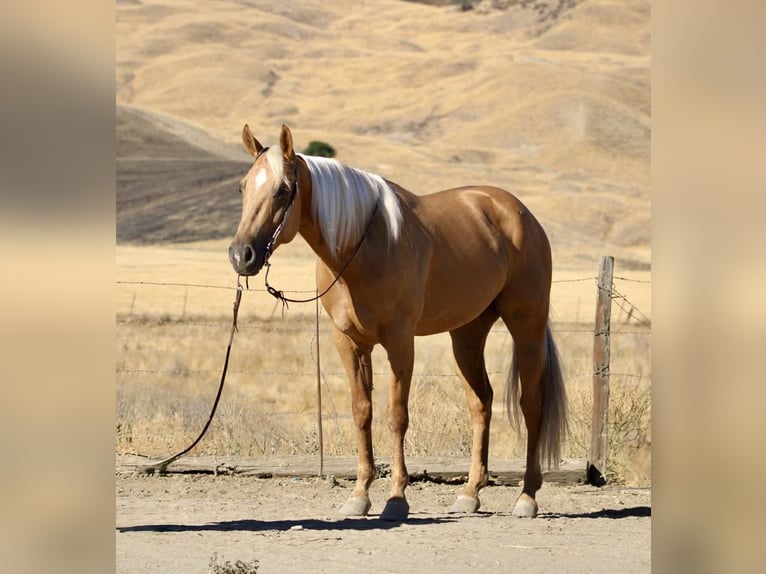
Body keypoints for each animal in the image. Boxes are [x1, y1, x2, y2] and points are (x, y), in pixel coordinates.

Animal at [229, 124, 568, 520]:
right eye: (243, 187)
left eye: (282, 190)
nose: (242, 255)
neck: (361, 247)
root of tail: (520, 213)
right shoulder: (349, 342)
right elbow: (362, 413)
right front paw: (359, 495)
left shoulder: (400, 341)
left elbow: (396, 416)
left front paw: (396, 499)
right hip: (467, 334)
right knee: (481, 402)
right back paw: (470, 493)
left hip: (526, 326)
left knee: (531, 404)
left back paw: (527, 497)